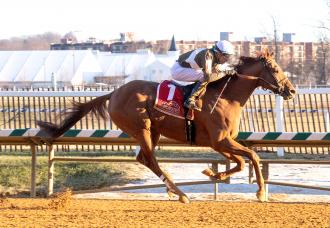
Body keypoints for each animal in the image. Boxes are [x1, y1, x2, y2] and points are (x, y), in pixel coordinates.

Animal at [38, 49, 296, 203]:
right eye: (275, 69)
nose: (292, 90)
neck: (225, 96)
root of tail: (114, 92)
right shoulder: (221, 139)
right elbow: (253, 156)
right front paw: (260, 192)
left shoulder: (219, 142)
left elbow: (241, 162)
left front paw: (213, 173)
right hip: (141, 128)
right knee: (150, 160)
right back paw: (180, 193)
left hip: (153, 131)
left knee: (144, 158)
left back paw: (175, 190)